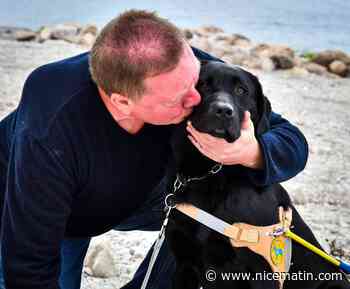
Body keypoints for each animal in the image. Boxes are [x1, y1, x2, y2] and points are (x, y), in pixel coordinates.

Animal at [165, 60, 350, 288]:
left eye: (241, 90)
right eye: (203, 85)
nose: (223, 111)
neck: (210, 173)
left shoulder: (264, 272)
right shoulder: (184, 263)